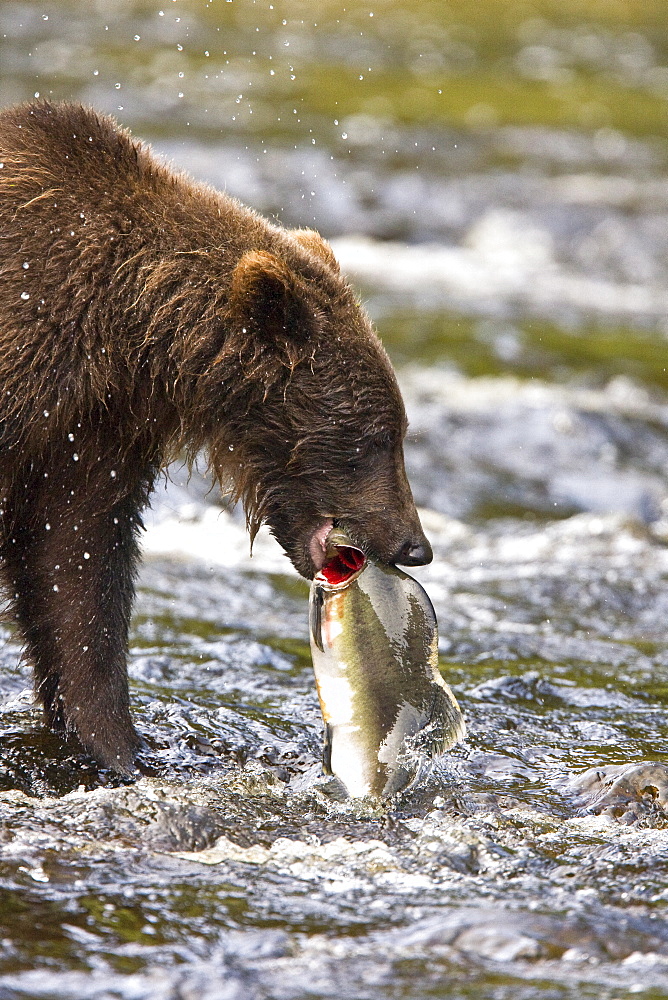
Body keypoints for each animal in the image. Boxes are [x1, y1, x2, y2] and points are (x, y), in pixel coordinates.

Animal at [0, 101, 430, 772]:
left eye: (398, 433)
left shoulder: (88, 436)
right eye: (375, 439)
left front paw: (118, 748)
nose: (415, 545)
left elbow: (76, 571)